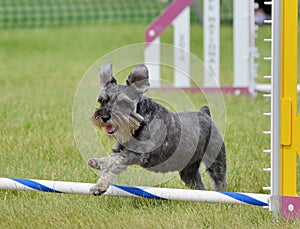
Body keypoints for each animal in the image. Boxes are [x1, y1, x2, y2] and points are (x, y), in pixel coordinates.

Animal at [88, 62, 226, 195]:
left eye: (123, 102)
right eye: (101, 101)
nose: (105, 117)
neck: (141, 122)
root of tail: (205, 113)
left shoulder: (139, 155)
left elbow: (116, 160)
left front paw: (99, 165)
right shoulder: (122, 151)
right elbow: (112, 164)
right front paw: (99, 182)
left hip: (216, 162)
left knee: (220, 182)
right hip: (189, 171)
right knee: (199, 186)